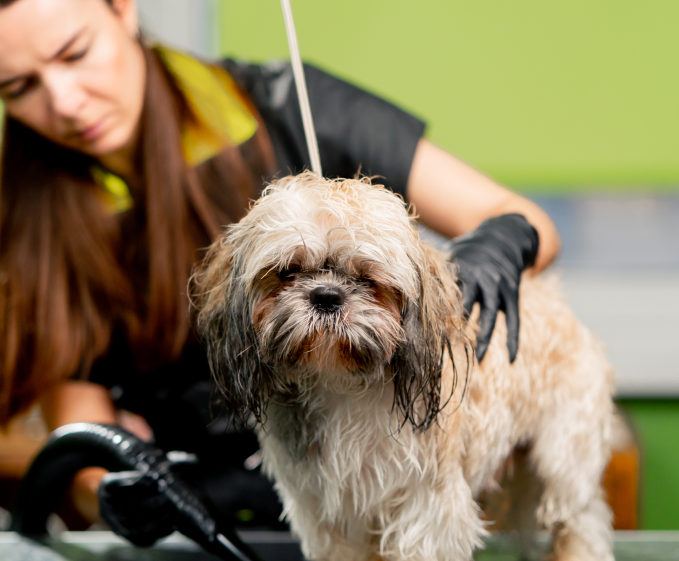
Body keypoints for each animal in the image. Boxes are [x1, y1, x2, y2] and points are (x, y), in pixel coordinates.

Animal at [193, 174, 616, 560]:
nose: (326, 295)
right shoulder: (328, 516)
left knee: (581, 522)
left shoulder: (427, 511)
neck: (339, 383)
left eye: (367, 278)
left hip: (564, 461)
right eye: (288, 271)